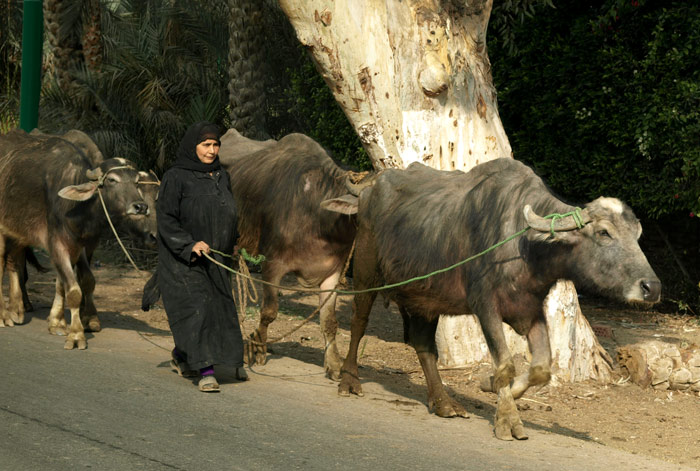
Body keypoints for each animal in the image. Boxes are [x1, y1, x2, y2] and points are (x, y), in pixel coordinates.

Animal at [0, 128, 156, 346]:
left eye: (136, 182)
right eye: (112, 180)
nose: (140, 206)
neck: (76, 207)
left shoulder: (80, 244)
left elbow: (74, 282)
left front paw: (62, 322)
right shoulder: (56, 244)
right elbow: (73, 290)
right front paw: (75, 333)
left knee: (13, 262)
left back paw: (17, 309)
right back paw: (5, 315)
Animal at [221, 129, 366, 380]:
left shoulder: (334, 273)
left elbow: (329, 320)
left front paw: (333, 364)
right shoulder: (272, 265)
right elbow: (269, 312)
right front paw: (258, 348)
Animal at [322, 159, 660, 442]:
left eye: (636, 234)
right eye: (604, 232)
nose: (652, 287)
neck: (525, 247)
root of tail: (368, 191)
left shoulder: (531, 311)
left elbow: (541, 367)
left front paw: (491, 385)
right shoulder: (485, 307)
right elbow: (506, 364)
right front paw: (507, 420)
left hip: (424, 296)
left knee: (423, 345)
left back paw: (443, 402)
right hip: (366, 270)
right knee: (359, 322)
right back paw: (349, 381)